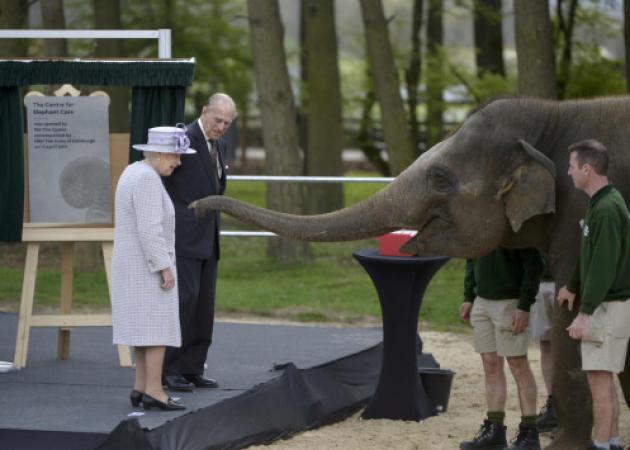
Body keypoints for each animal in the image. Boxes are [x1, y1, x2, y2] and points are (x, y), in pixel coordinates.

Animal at [193, 96, 630, 448]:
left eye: (439, 177)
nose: (196, 205)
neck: (554, 113)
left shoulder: (577, 214)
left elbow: (571, 315)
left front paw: (567, 446)